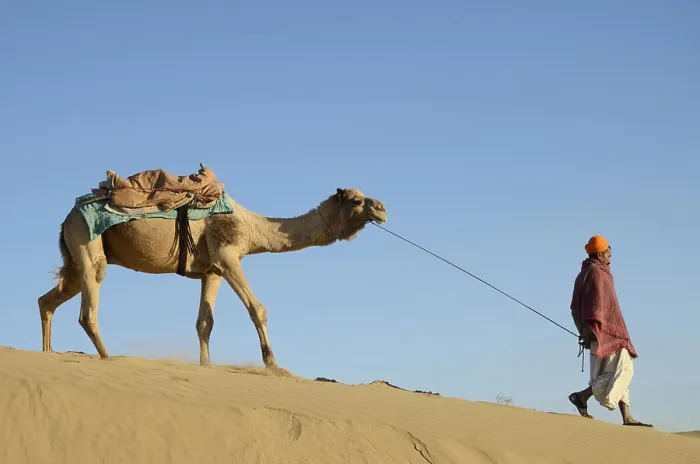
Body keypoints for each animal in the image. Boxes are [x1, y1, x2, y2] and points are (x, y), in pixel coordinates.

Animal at [38, 185, 387, 368]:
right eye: (357, 200)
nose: (382, 208)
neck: (251, 226)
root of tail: (65, 219)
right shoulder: (228, 255)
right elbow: (258, 309)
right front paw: (273, 364)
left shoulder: (212, 270)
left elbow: (204, 323)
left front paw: (206, 367)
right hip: (87, 241)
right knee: (88, 305)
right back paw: (108, 358)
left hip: (77, 257)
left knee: (47, 300)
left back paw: (48, 353)